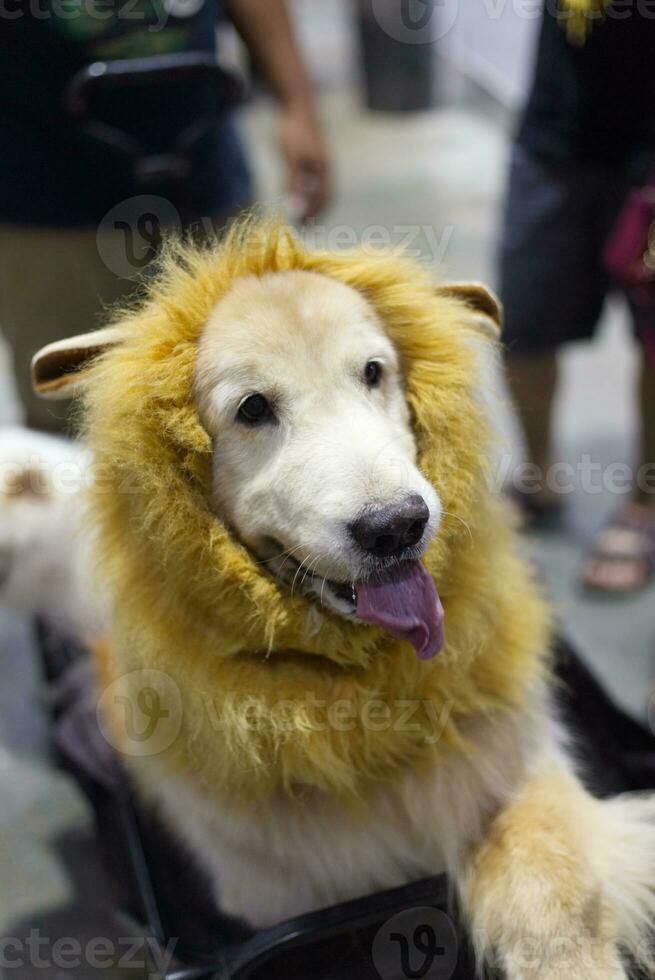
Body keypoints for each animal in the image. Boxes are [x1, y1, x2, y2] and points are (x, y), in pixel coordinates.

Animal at [30, 222, 655, 980]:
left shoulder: (510, 773)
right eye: (252, 409)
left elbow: (555, 906)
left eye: (373, 372)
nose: (396, 526)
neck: (361, 696)